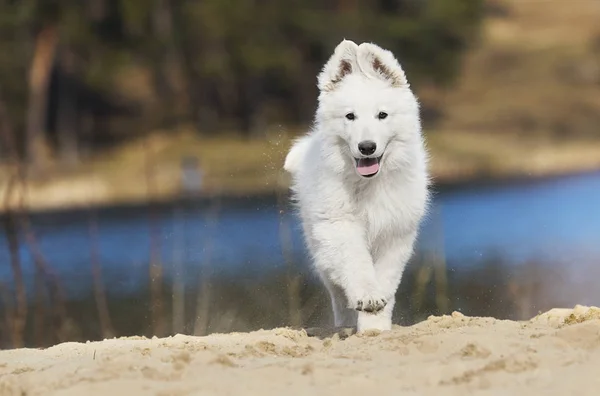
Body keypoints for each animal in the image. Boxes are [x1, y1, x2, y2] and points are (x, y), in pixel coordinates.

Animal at [284, 39, 428, 332]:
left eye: (382, 115)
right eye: (350, 116)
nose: (367, 147)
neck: (368, 184)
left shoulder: (395, 233)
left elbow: (387, 279)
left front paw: (376, 325)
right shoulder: (340, 227)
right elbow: (357, 265)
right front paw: (367, 299)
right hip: (319, 244)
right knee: (337, 290)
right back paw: (344, 322)